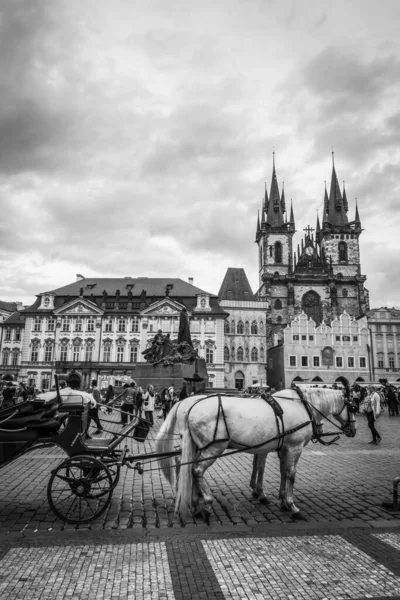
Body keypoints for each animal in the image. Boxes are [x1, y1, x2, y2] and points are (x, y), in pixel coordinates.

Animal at [155, 390, 356, 520]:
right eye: (353, 407)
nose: (353, 430)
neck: (301, 405)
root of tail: (189, 406)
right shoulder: (294, 447)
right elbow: (289, 474)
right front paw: (292, 506)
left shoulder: (280, 448)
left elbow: (280, 472)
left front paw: (280, 499)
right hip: (214, 447)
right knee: (196, 470)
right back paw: (206, 502)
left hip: (196, 446)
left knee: (186, 465)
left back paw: (194, 500)